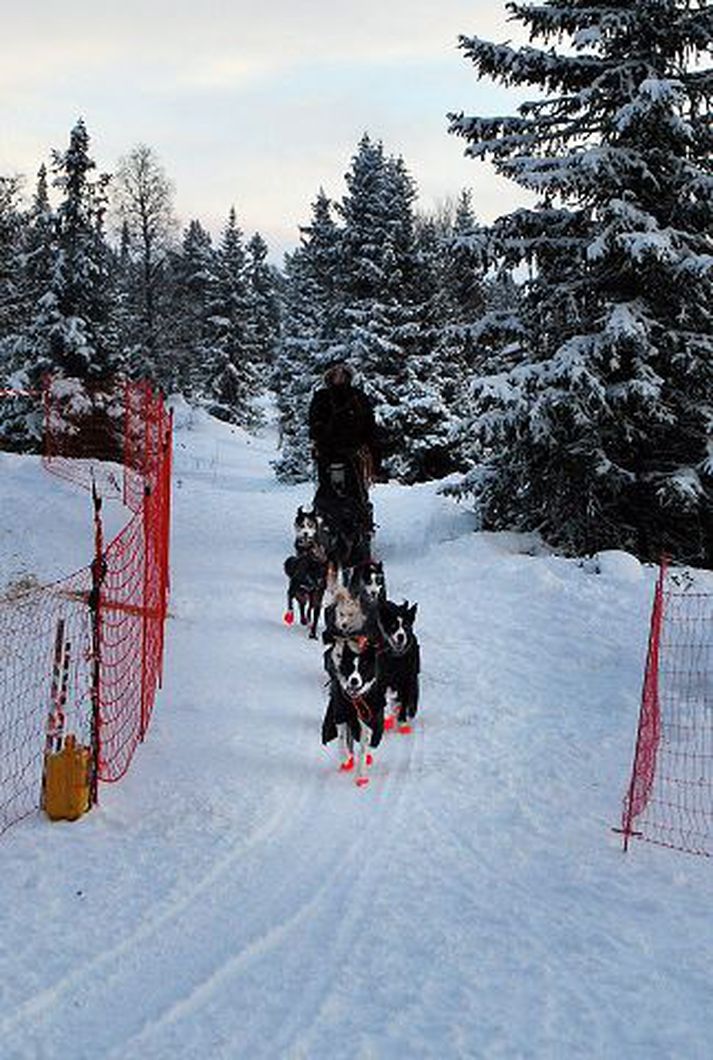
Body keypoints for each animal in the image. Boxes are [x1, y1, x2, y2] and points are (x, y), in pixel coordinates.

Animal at [322, 631, 383, 784]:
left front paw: (361, 775)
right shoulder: (340, 716)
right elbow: (341, 740)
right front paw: (346, 760)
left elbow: (363, 748)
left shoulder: (368, 721)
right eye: (350, 667)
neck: (355, 700)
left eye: (363, 669)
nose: (354, 680)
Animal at [375, 602, 419, 733]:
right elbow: (383, 699)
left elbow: (404, 701)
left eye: (406, 626)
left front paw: (403, 721)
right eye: (393, 626)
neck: (396, 658)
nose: (401, 636)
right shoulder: (382, 681)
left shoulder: (407, 680)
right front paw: (386, 719)